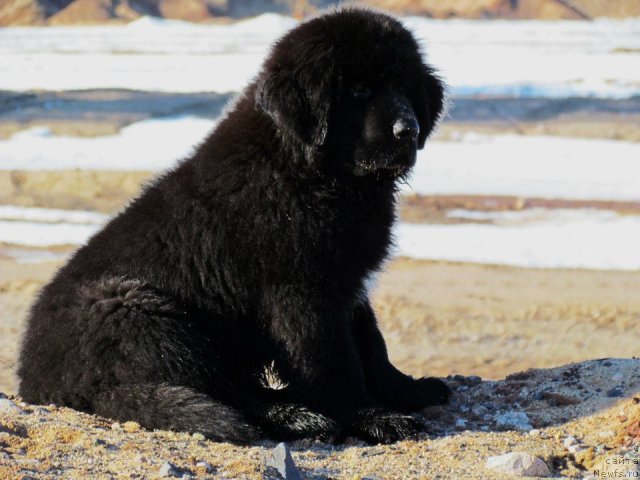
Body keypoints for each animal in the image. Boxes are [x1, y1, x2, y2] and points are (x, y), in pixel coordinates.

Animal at [18, 5, 450, 444]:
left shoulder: (348, 281)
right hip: (140, 310)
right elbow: (332, 361)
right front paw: (372, 417)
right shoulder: (302, 293)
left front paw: (406, 388)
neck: (311, 173)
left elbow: (371, 343)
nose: (409, 130)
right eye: (360, 90)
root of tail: (37, 381)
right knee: (224, 391)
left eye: (405, 86)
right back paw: (295, 416)